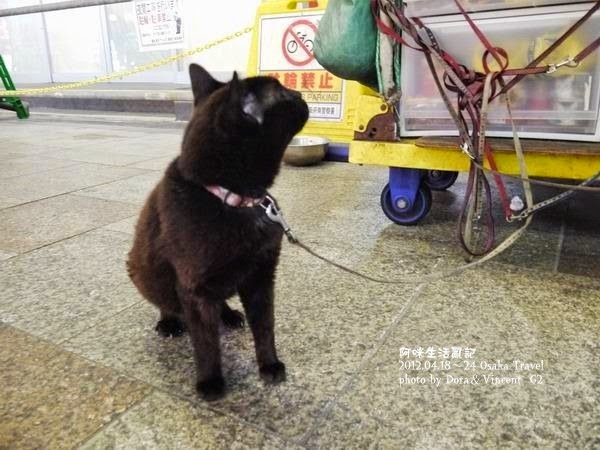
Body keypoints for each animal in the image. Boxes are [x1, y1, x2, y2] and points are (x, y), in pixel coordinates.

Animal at [127, 64, 309, 401]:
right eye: (282, 94)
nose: (300, 93)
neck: (235, 199)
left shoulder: (261, 277)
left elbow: (265, 326)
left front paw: (269, 365)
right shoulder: (194, 287)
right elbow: (205, 342)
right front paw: (210, 382)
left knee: (222, 301)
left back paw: (229, 315)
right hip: (144, 272)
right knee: (166, 302)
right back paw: (169, 322)